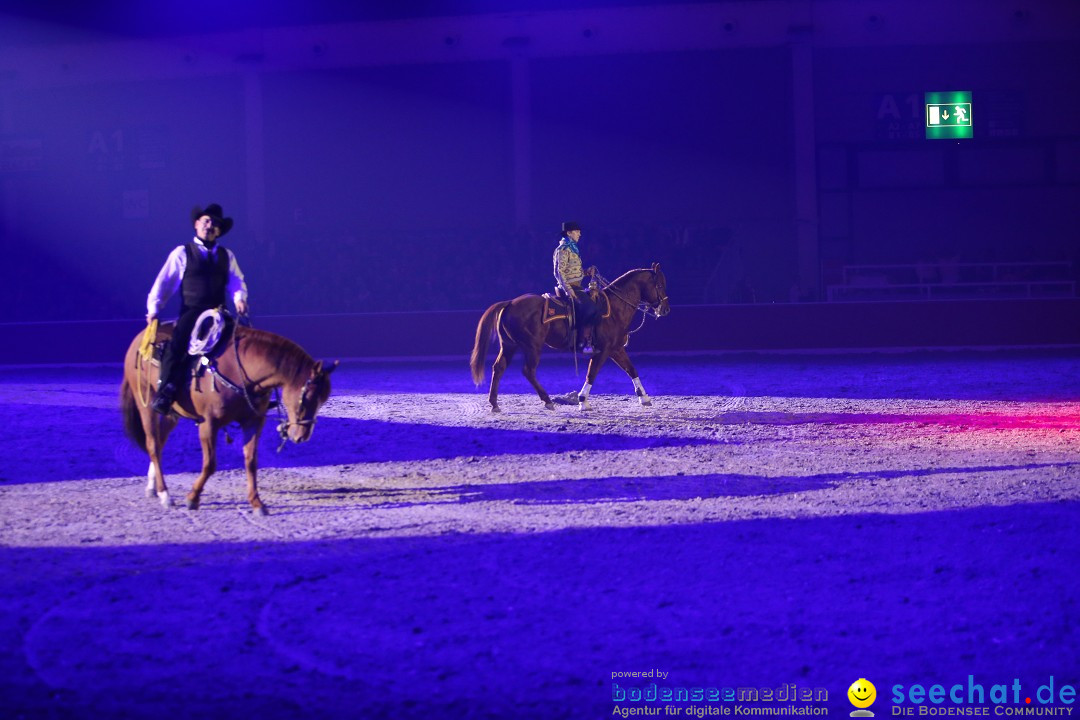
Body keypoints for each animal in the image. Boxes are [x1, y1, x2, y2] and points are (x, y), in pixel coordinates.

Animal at [120, 323, 334, 515]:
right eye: (306, 398)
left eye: (323, 400)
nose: (302, 436)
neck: (242, 373)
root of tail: (141, 337)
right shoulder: (208, 424)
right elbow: (210, 464)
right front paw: (193, 498)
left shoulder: (253, 422)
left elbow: (251, 461)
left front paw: (256, 503)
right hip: (146, 402)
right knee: (153, 444)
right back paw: (164, 494)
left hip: (172, 413)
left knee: (160, 440)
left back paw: (152, 487)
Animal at [470, 263, 665, 410]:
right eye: (660, 285)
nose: (666, 309)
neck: (615, 308)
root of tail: (510, 303)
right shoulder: (603, 351)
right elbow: (592, 374)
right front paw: (583, 401)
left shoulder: (616, 349)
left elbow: (632, 370)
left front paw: (644, 398)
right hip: (532, 346)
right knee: (528, 371)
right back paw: (547, 401)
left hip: (509, 345)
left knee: (499, 368)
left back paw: (494, 404)